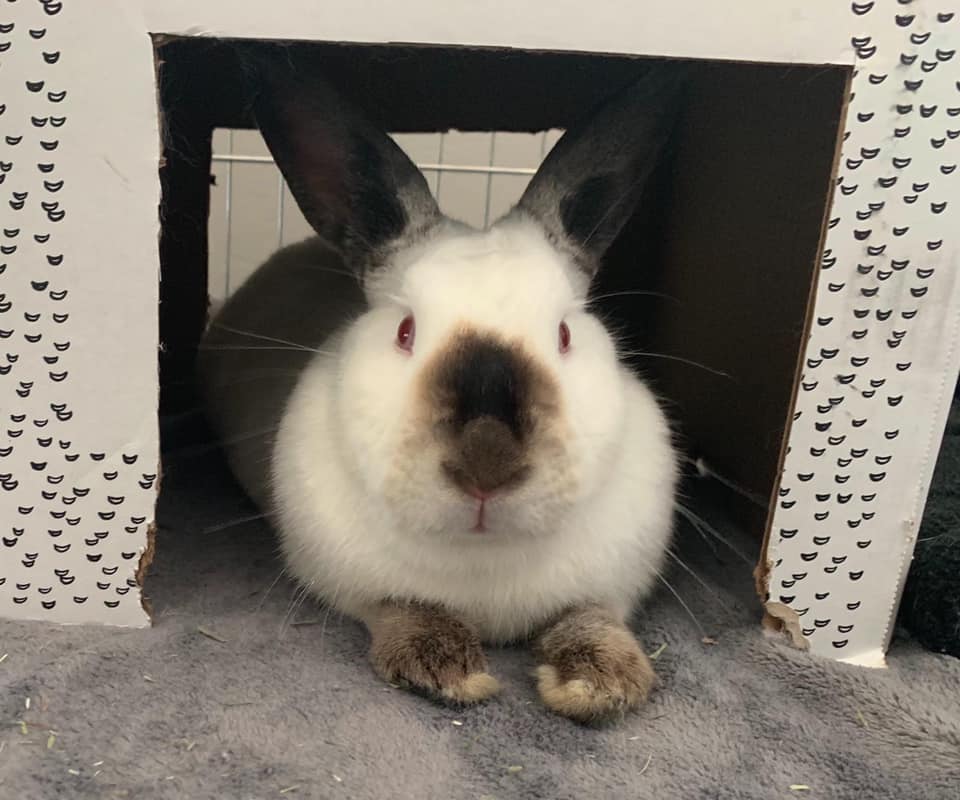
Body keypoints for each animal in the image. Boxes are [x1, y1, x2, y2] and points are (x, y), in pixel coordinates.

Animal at [198, 56, 683, 723]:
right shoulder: (354, 581)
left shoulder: (609, 583)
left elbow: (590, 616)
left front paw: (602, 681)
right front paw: (448, 669)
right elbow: (403, 607)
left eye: (563, 334)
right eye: (405, 331)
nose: (487, 464)